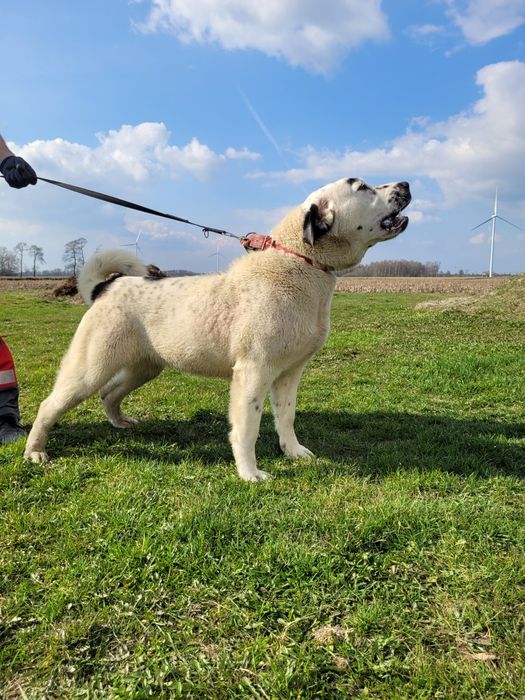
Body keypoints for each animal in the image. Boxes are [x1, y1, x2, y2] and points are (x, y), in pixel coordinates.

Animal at [23, 178, 410, 478]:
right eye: (361, 187)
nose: (406, 184)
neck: (301, 263)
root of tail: (108, 286)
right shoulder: (254, 372)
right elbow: (247, 428)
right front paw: (250, 473)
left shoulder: (288, 375)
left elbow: (286, 417)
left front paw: (293, 452)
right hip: (90, 369)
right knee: (49, 405)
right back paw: (35, 451)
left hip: (145, 367)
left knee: (109, 394)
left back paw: (120, 423)